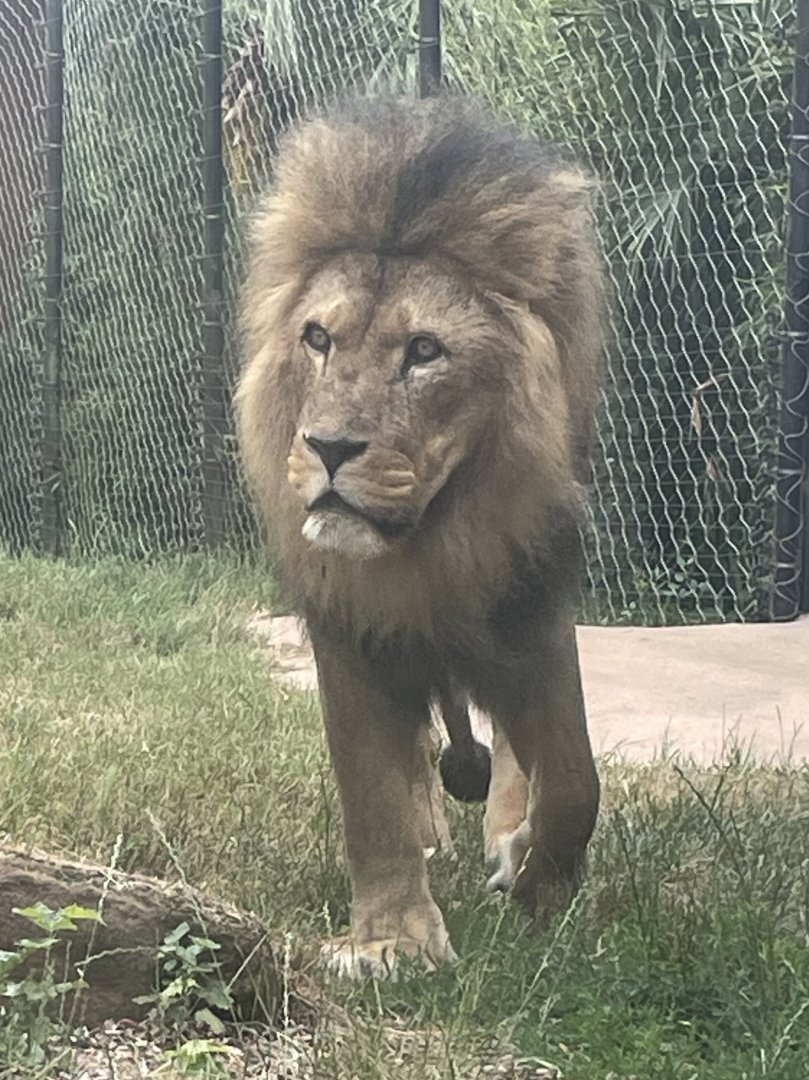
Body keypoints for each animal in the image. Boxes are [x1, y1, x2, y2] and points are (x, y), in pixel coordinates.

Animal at [235, 94, 606, 978]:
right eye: (317, 338)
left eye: (425, 351)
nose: (328, 447)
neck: (428, 549)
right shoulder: (348, 634)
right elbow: (370, 797)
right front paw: (391, 939)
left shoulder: (531, 620)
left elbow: (572, 780)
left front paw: (537, 879)